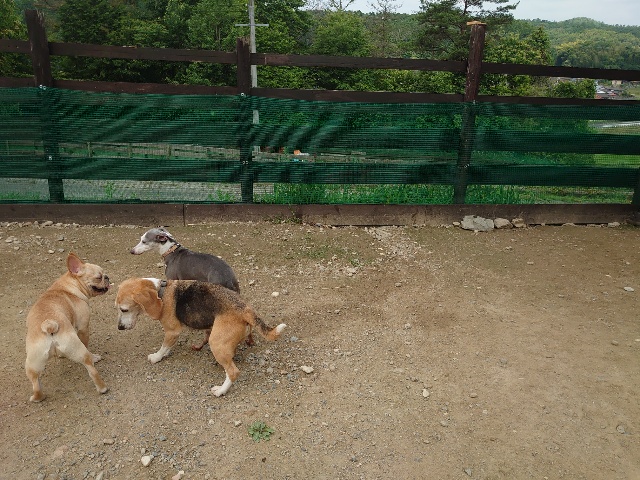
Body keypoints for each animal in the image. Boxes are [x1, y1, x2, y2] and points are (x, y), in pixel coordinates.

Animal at [25, 252, 111, 402]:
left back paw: (37, 398)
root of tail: (49, 325)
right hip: (78, 349)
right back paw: (102, 386)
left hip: (31, 364)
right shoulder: (83, 328)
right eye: (99, 277)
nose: (107, 277)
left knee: (36, 384)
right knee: (91, 369)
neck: (69, 287)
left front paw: (61, 355)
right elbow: (86, 341)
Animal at [115, 278, 286, 397]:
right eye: (117, 309)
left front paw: (157, 357)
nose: (119, 328)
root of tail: (244, 308)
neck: (161, 291)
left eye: (124, 309)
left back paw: (221, 390)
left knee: (233, 372)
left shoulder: (172, 331)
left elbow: (164, 346)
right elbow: (168, 346)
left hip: (215, 342)